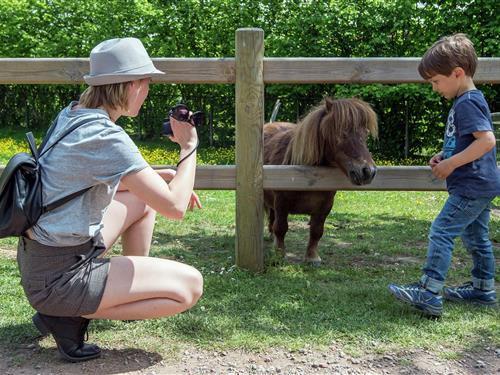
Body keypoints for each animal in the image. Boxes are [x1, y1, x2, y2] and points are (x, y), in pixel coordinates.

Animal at [264, 98, 376, 266]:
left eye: (365, 134)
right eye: (342, 132)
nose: (368, 171)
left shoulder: (325, 206)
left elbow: (317, 230)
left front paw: (312, 257)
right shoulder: (281, 202)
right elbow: (281, 228)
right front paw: (279, 255)